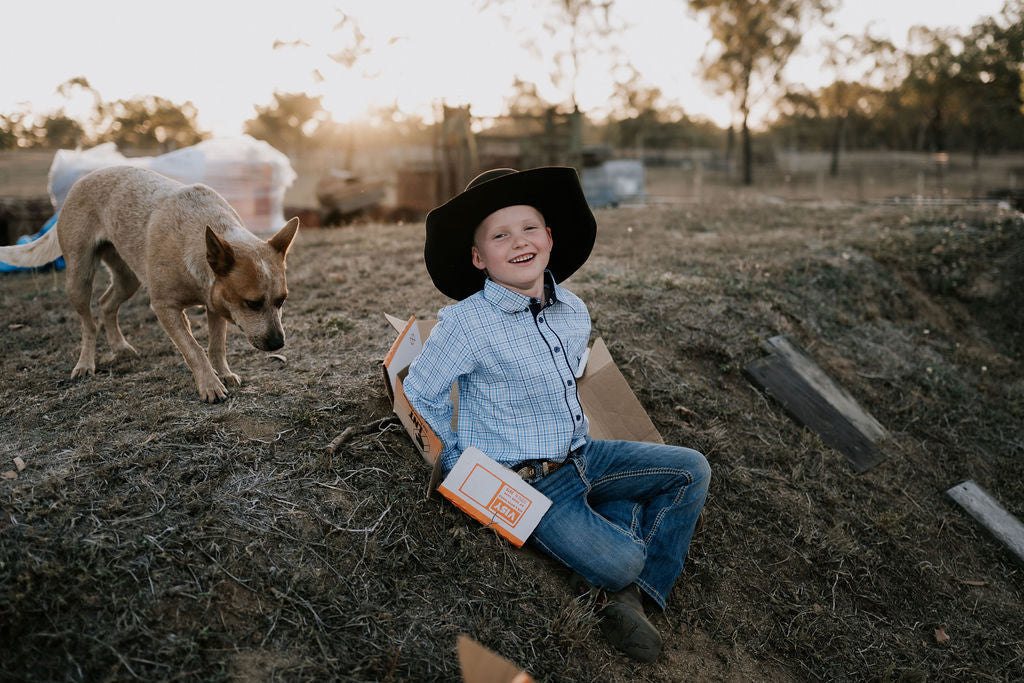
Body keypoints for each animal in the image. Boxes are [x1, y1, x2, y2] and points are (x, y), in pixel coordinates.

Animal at [0, 165, 299, 401]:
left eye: (282, 300)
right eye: (252, 303)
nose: (278, 344)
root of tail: (83, 180)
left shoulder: (216, 303)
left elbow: (216, 346)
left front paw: (224, 374)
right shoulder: (165, 307)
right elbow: (194, 349)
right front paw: (210, 385)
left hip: (128, 278)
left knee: (106, 303)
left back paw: (120, 347)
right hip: (79, 276)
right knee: (88, 322)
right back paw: (85, 364)